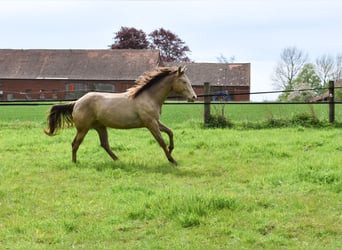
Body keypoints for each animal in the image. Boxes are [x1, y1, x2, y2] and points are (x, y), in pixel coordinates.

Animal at [44, 65, 196, 165]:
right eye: (184, 82)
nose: (194, 97)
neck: (149, 97)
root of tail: (76, 102)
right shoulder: (150, 123)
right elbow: (161, 141)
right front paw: (173, 160)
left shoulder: (155, 121)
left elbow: (170, 132)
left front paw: (171, 149)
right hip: (83, 129)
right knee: (75, 143)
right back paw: (75, 162)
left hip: (100, 127)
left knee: (104, 144)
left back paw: (118, 160)